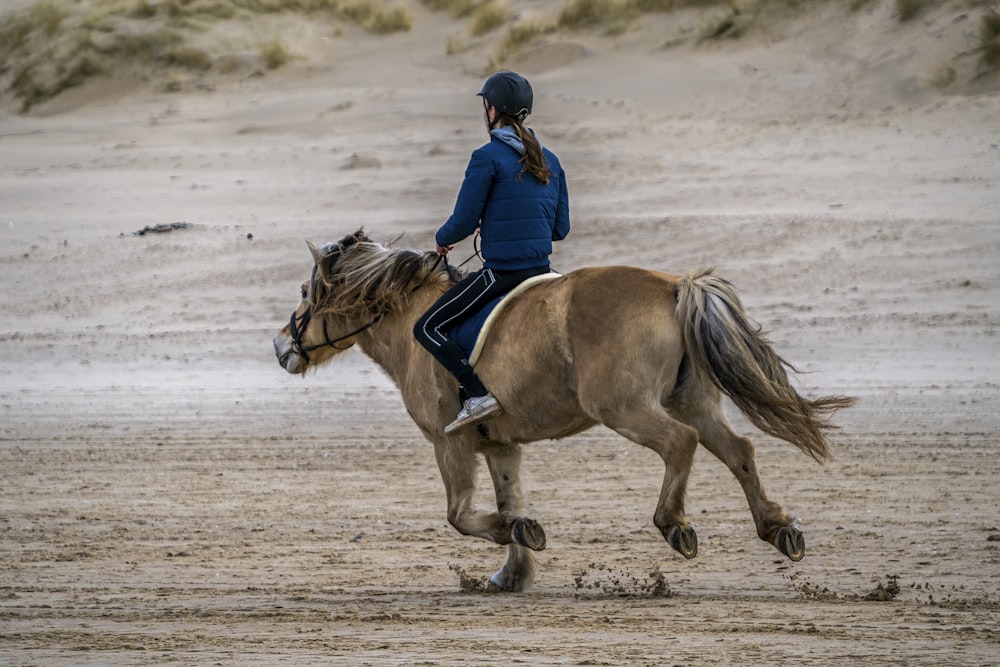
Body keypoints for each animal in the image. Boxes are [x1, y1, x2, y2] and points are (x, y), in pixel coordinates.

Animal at [276, 231, 860, 596]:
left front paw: (514, 533)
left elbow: (461, 515)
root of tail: (674, 285)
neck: (413, 318)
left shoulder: (450, 443)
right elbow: (508, 497)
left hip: (626, 408)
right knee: (737, 449)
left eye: (305, 291)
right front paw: (514, 567)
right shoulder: (498, 444)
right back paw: (778, 528)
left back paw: (674, 524)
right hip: (690, 400)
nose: (283, 346)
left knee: (681, 443)